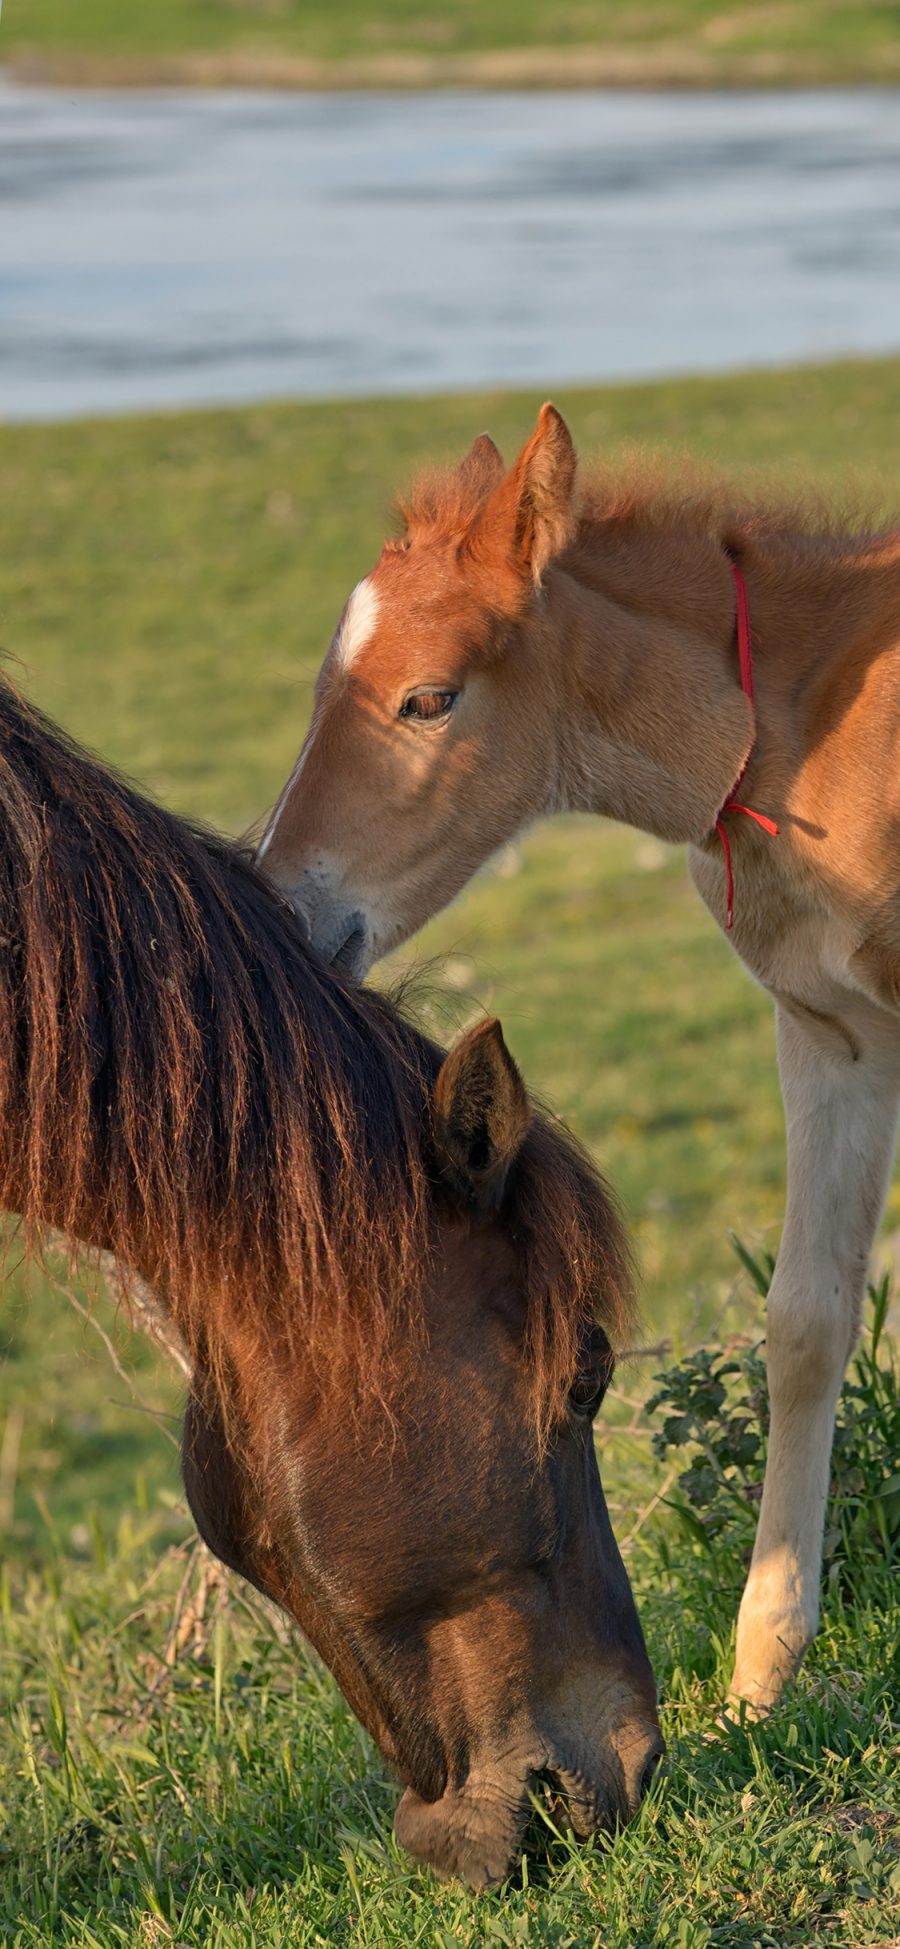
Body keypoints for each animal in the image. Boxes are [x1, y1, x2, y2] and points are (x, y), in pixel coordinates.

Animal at [255, 407, 900, 1707]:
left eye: (429, 698)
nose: (285, 906)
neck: (805, 730)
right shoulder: (834, 1034)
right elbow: (806, 1323)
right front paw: (763, 1670)